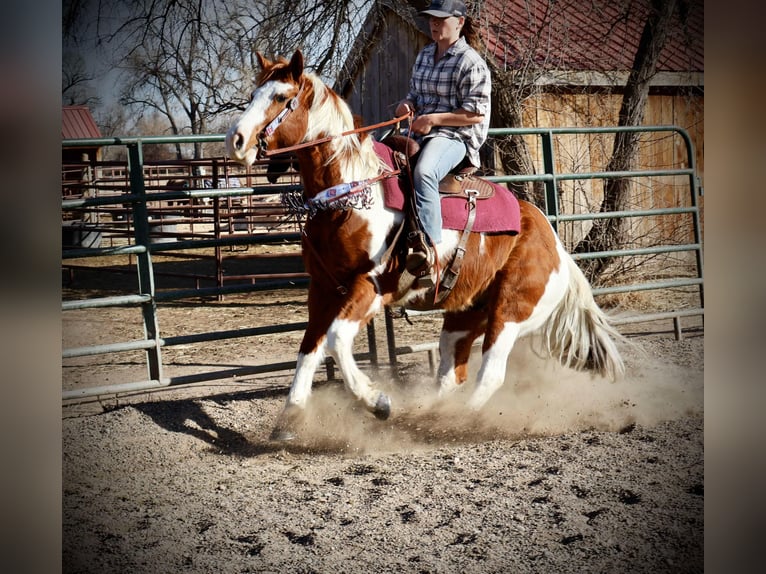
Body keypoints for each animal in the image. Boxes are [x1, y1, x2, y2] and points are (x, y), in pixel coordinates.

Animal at [226, 50, 625, 440]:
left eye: (281, 97)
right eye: (253, 94)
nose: (236, 140)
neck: (348, 194)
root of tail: (555, 246)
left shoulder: (370, 288)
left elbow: (336, 340)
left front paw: (376, 401)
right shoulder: (322, 289)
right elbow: (309, 347)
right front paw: (290, 417)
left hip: (511, 312)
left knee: (491, 373)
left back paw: (451, 422)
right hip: (465, 315)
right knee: (452, 372)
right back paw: (428, 414)